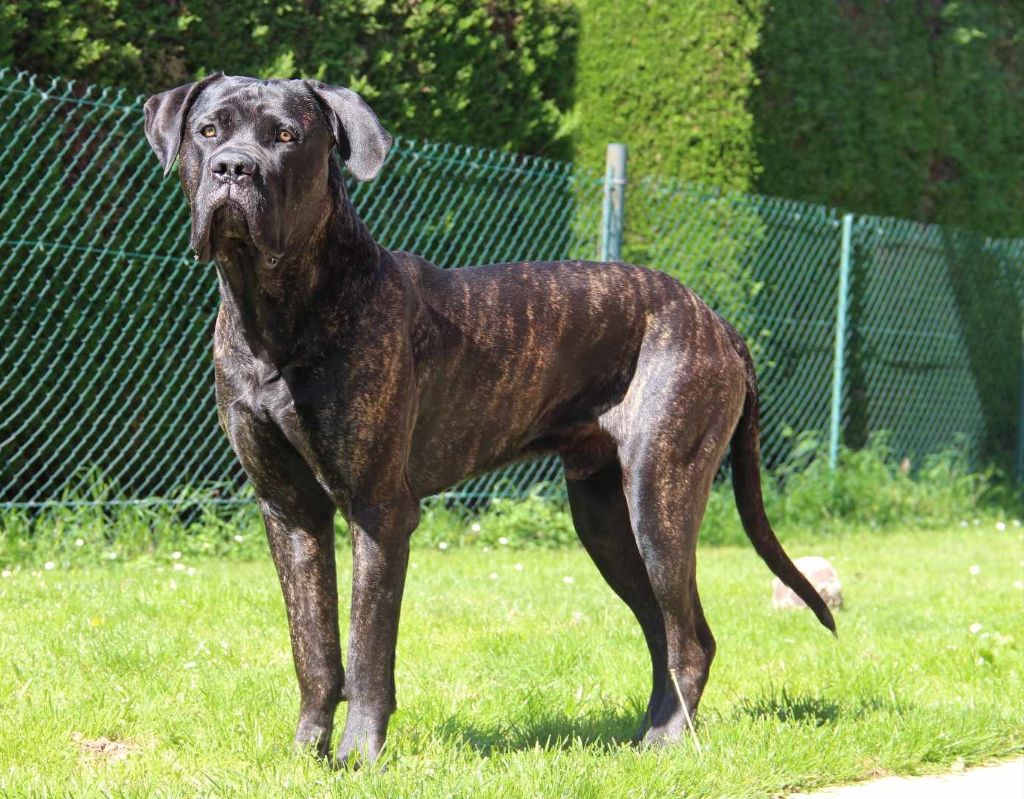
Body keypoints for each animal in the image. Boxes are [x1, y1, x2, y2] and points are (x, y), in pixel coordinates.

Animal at [143, 75, 835, 766]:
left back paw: (665, 743)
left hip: (658, 499)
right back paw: (648, 733)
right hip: (605, 521)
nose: (234, 168)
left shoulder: (379, 510)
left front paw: (359, 757)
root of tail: (715, 319)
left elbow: (367, 649)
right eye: (209, 130)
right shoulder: (289, 510)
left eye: (286, 136)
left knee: (688, 638)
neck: (276, 312)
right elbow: (313, 648)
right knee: (669, 633)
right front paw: (305, 754)